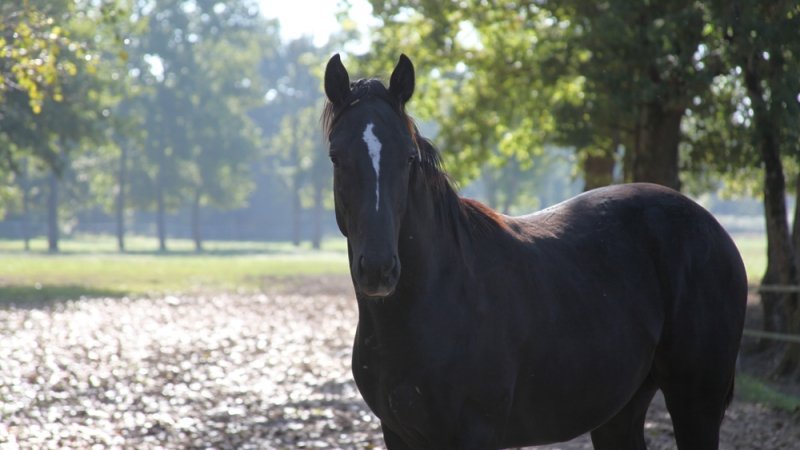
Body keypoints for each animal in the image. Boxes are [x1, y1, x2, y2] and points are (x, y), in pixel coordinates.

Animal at [321, 53, 747, 450]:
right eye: (336, 157)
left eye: (408, 157)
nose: (378, 269)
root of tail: (713, 229)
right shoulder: (397, 432)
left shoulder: (477, 431)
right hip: (619, 411)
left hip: (696, 403)